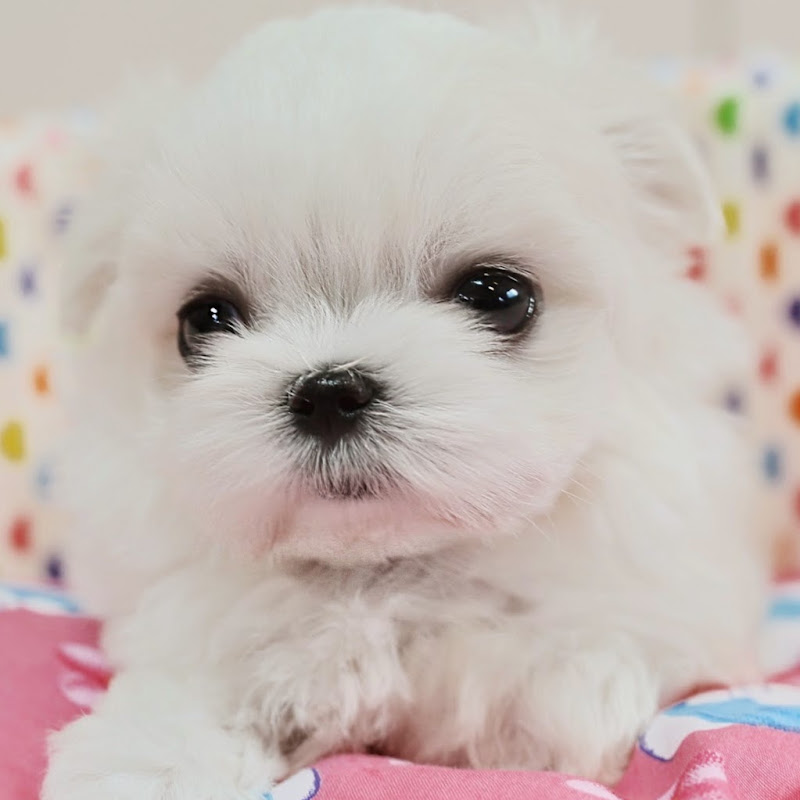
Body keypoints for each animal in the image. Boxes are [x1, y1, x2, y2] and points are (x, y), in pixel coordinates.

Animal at [43, 4, 768, 798]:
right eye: (203, 321)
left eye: (498, 296)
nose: (329, 392)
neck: (387, 568)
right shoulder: (193, 623)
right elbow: (185, 694)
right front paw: (140, 766)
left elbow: (549, 686)